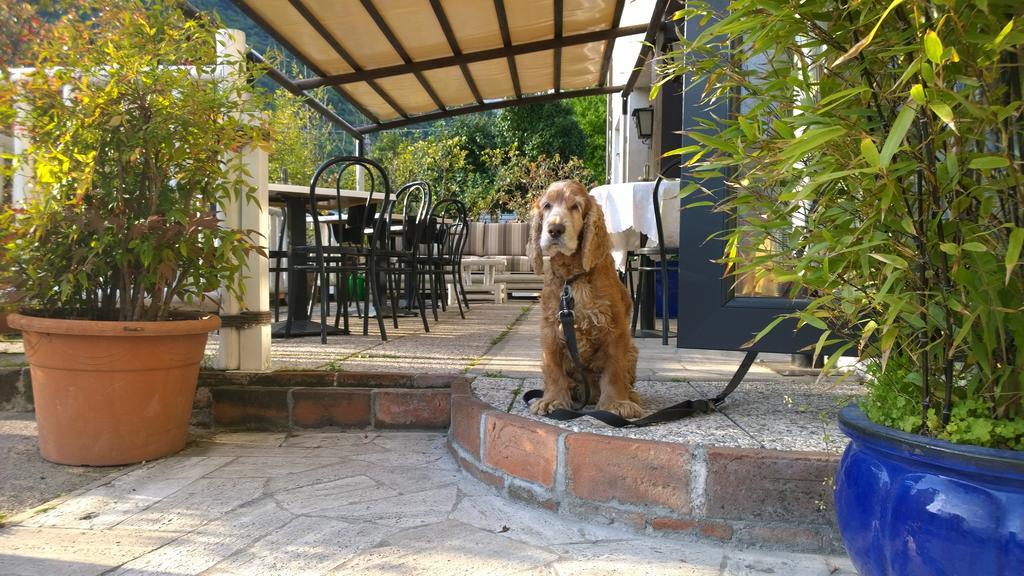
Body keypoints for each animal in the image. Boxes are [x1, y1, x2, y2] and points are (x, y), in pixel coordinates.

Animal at [528, 177, 638, 414]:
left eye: (575, 207)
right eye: (547, 206)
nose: (555, 229)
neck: (573, 278)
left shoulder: (615, 327)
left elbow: (614, 368)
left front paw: (616, 403)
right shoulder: (551, 328)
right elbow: (553, 368)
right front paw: (552, 399)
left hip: (633, 349)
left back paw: (629, 396)